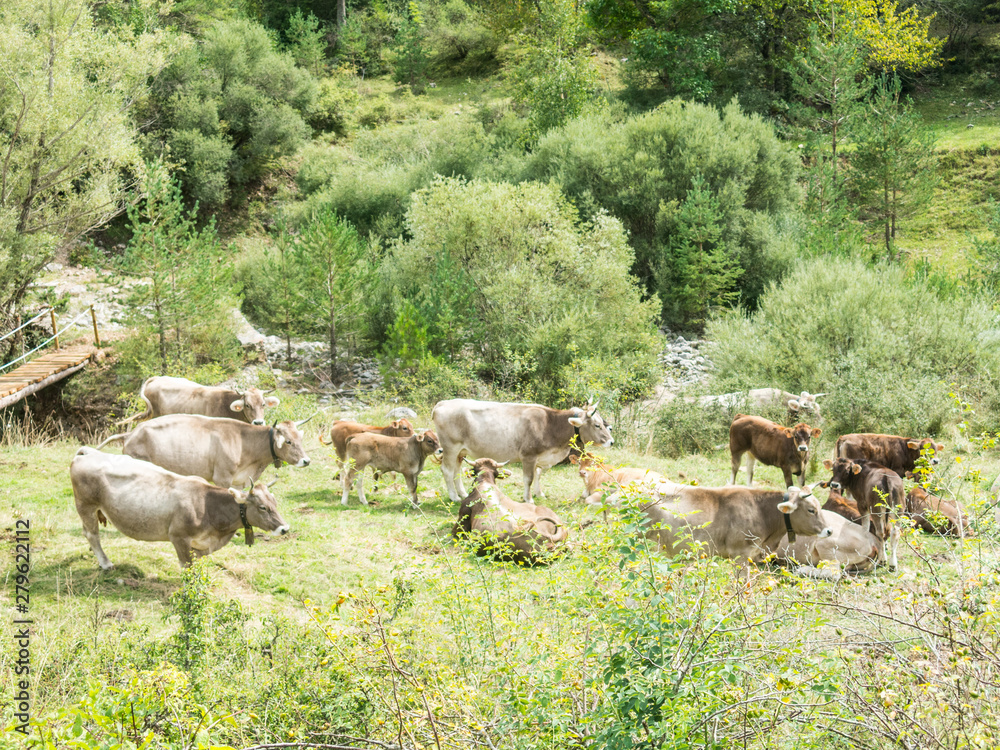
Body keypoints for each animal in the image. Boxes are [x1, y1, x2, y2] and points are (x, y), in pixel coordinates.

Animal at [70, 447, 289, 569]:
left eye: (275, 503)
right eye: (262, 507)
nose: (284, 528)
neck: (208, 505)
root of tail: (89, 453)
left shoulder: (200, 545)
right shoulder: (178, 537)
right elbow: (187, 567)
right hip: (86, 505)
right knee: (92, 534)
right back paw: (105, 563)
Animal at [98, 415, 310, 488]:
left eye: (300, 439)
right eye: (289, 441)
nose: (306, 461)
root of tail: (131, 433)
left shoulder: (240, 480)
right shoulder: (222, 478)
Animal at [432, 399, 613, 504]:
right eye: (597, 425)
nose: (611, 441)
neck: (550, 424)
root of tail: (442, 403)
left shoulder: (541, 458)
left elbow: (539, 475)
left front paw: (539, 494)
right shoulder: (528, 456)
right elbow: (529, 478)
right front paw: (529, 499)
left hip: (460, 451)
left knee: (456, 471)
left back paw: (462, 493)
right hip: (450, 447)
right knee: (447, 470)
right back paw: (454, 496)